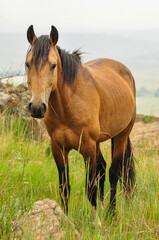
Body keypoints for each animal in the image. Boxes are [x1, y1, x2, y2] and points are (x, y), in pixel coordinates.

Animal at [25, 24, 135, 225]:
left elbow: (90, 187)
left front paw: (96, 223)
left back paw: (111, 214)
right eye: (28, 64)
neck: (68, 107)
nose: (37, 107)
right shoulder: (58, 148)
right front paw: (66, 219)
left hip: (121, 136)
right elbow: (65, 187)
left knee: (113, 172)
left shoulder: (87, 147)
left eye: (53, 65)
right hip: (98, 142)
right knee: (102, 169)